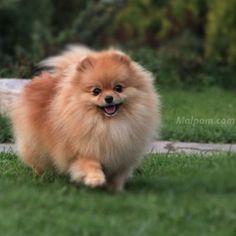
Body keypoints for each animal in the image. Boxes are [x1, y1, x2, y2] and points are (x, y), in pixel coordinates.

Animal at [11, 46, 162, 192]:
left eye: (118, 88)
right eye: (96, 91)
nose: (109, 98)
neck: (108, 125)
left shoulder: (122, 157)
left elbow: (118, 176)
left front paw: (116, 190)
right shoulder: (83, 151)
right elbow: (90, 164)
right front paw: (96, 179)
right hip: (35, 145)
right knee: (37, 162)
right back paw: (40, 177)